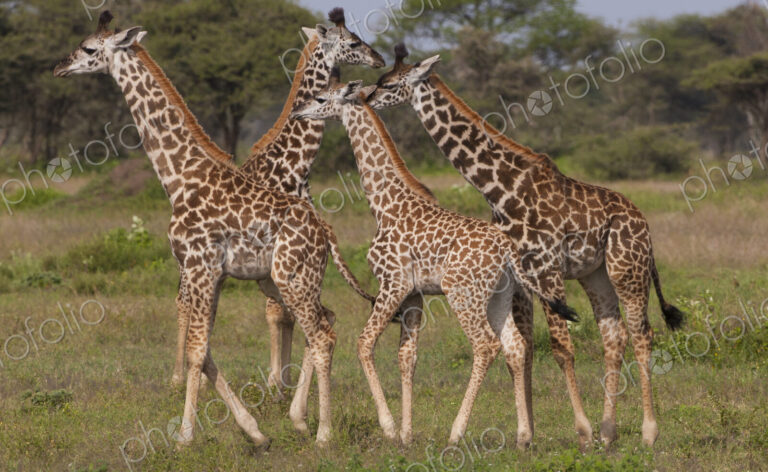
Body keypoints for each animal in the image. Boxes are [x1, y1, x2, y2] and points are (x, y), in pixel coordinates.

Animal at [53, 11, 362, 446]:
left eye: (89, 48)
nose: (60, 67)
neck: (179, 177)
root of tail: (326, 234)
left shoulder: (200, 266)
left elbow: (199, 350)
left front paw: (184, 436)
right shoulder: (207, 272)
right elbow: (206, 349)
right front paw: (254, 431)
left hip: (292, 277)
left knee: (321, 334)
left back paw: (322, 433)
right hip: (291, 279)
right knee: (324, 323)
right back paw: (300, 420)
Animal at [291, 80, 578, 448]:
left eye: (322, 97)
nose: (299, 112)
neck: (384, 204)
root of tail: (508, 250)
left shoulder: (392, 282)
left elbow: (364, 342)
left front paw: (388, 427)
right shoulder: (414, 293)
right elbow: (407, 356)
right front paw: (406, 434)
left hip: (463, 293)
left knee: (485, 345)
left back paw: (457, 433)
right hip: (499, 294)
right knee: (514, 346)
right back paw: (523, 436)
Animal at [366, 44, 685, 447]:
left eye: (389, 83)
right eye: (379, 80)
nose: (367, 98)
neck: (501, 188)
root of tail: (644, 224)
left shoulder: (545, 266)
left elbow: (560, 348)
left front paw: (580, 432)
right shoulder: (519, 277)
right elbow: (522, 349)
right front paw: (527, 433)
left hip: (628, 269)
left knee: (643, 335)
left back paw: (647, 432)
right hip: (595, 275)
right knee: (614, 337)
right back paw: (608, 432)